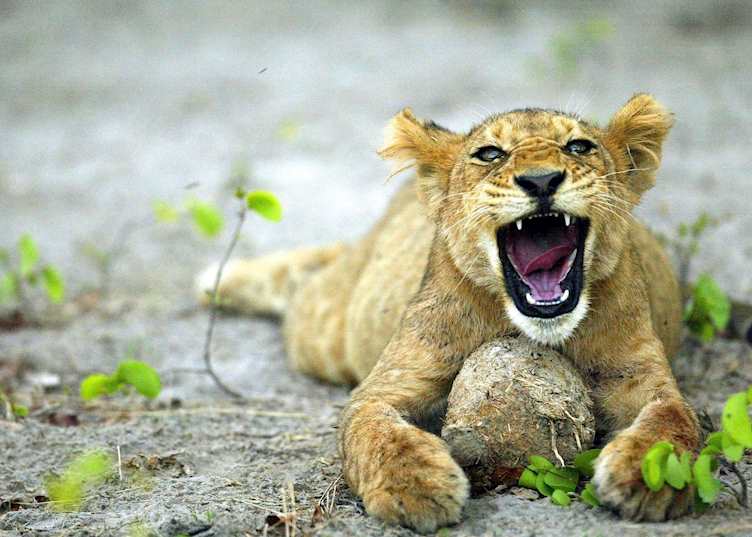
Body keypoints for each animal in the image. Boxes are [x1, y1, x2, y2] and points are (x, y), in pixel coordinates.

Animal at [196, 94, 699, 532]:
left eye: (578, 146)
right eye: (490, 154)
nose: (540, 181)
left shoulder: (640, 376)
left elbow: (673, 420)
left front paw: (648, 474)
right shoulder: (388, 383)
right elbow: (374, 428)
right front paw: (415, 487)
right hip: (324, 332)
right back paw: (222, 281)